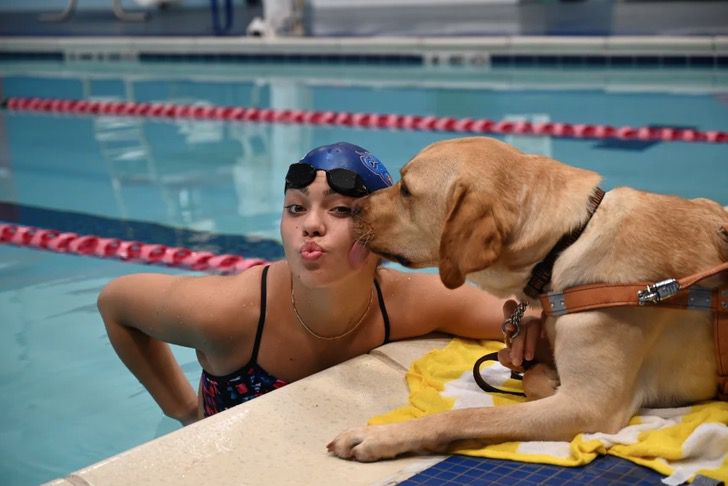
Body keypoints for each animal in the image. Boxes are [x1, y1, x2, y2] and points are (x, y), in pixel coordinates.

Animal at [328, 136, 728, 460]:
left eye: (407, 190)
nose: (351, 209)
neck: (568, 242)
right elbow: (531, 373)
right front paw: (542, 375)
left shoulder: (590, 406)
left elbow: (468, 415)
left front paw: (379, 436)